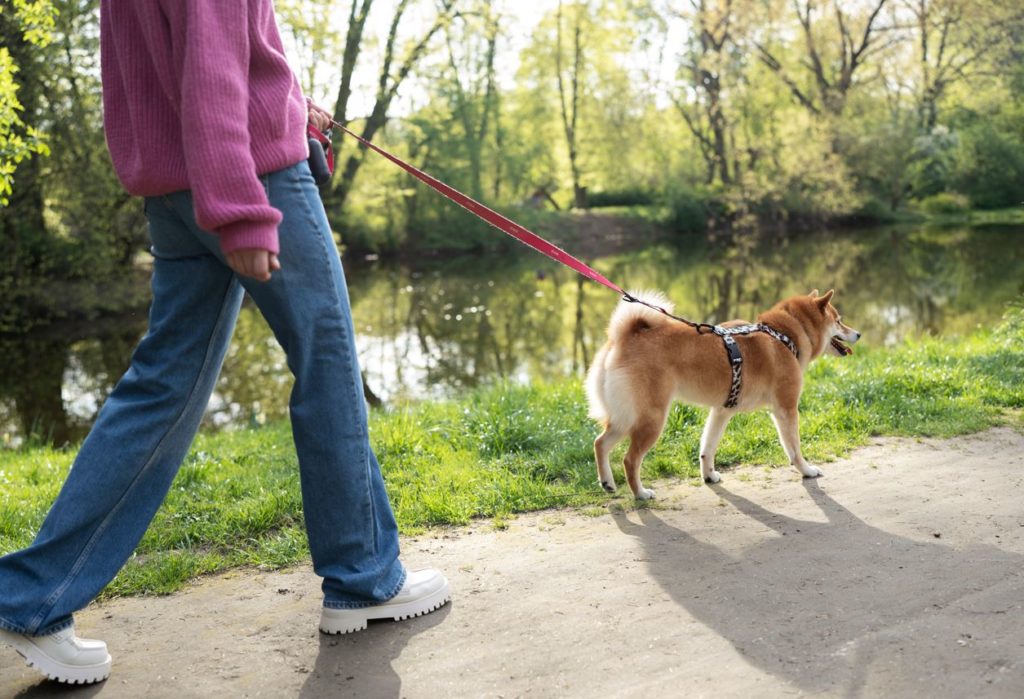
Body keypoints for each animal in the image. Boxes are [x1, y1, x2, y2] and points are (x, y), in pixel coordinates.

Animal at [585, 290, 864, 503]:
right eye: (839, 321)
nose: (859, 334)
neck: (783, 335)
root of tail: (623, 339)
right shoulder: (786, 409)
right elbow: (794, 448)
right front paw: (806, 470)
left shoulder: (721, 411)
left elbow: (707, 448)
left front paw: (709, 476)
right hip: (651, 419)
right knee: (629, 459)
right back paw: (640, 493)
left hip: (625, 417)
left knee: (600, 443)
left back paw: (607, 482)